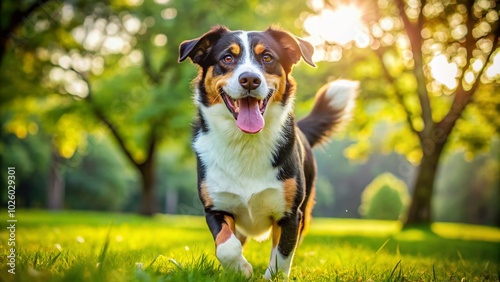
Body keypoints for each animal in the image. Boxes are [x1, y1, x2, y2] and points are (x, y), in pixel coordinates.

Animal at [178, 25, 358, 278]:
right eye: (227, 58)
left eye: (267, 57)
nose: (250, 79)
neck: (245, 143)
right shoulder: (215, 207)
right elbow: (226, 245)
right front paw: (240, 269)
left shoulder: (290, 214)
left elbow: (282, 255)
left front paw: (271, 275)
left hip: (304, 212)